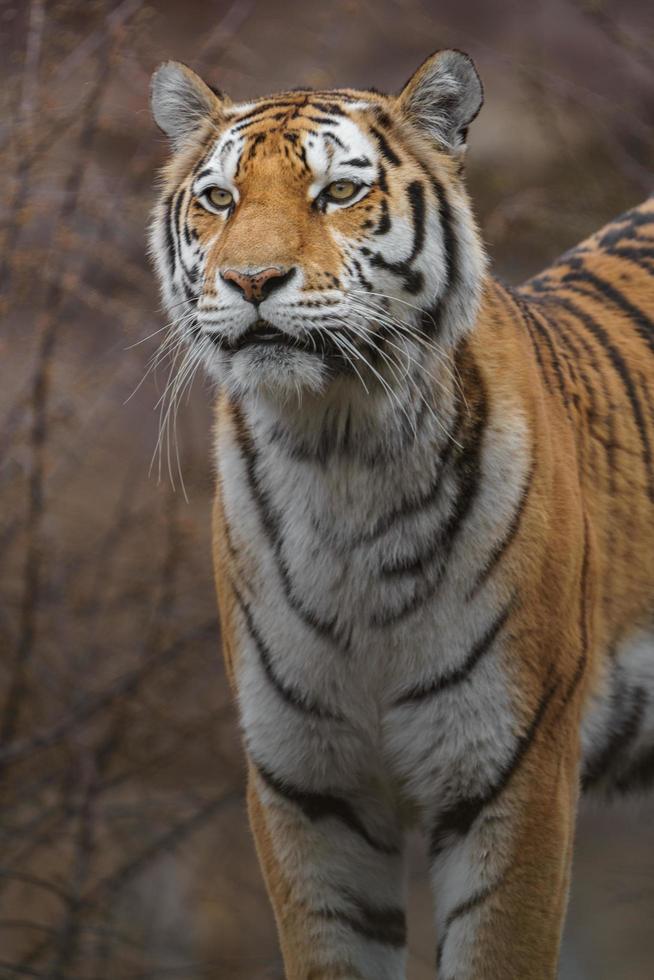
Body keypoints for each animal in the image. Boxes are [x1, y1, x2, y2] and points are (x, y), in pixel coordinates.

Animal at [149, 47, 654, 980]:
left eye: (339, 193)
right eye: (221, 199)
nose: (250, 280)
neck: (336, 457)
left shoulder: (512, 772)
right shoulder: (307, 787)